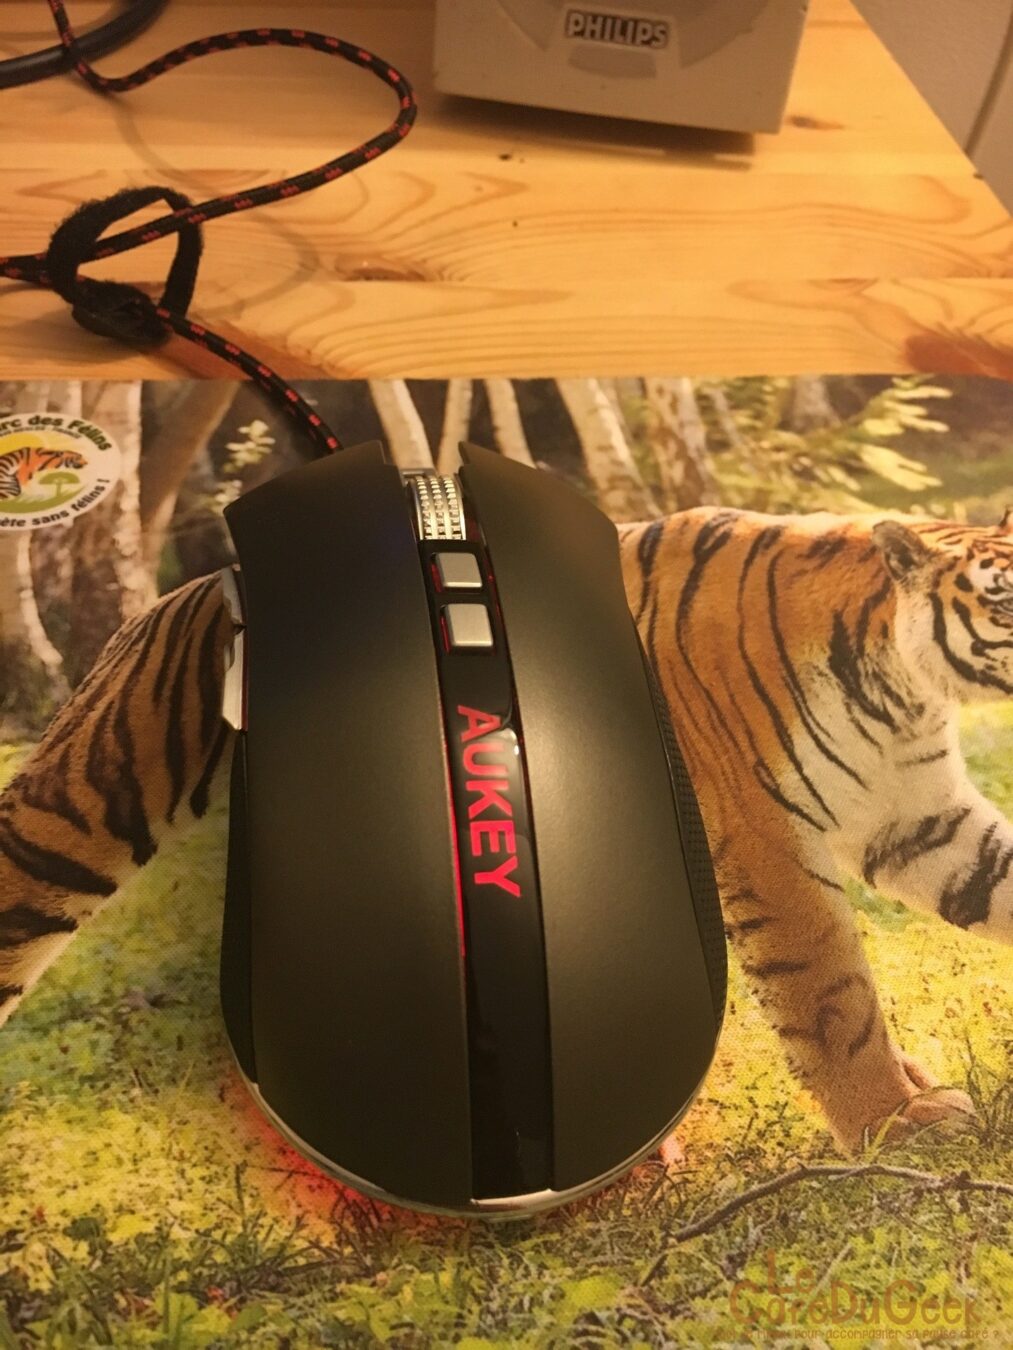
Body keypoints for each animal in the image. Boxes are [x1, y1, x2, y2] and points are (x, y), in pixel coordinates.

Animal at [1, 509, 1011, 1152]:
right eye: (1002, 600)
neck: (905, 689)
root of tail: (186, 592)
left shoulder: (920, 819)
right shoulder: (764, 842)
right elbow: (832, 997)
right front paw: (896, 1129)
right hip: (79, 811)